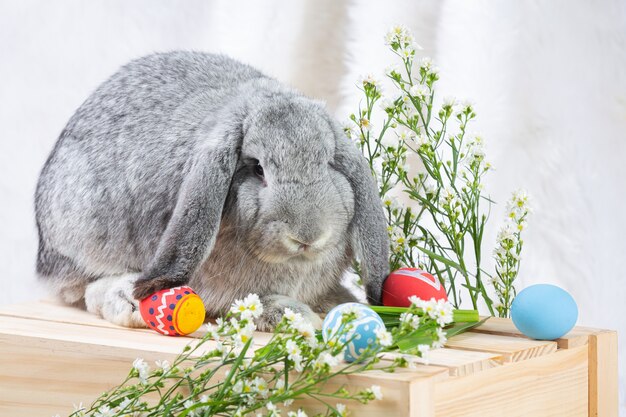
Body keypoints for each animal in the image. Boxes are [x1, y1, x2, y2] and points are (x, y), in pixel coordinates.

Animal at [34, 52, 388, 330]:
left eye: (328, 163)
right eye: (258, 169)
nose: (307, 235)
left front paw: (344, 304)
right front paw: (294, 316)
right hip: (81, 235)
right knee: (84, 290)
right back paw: (128, 302)